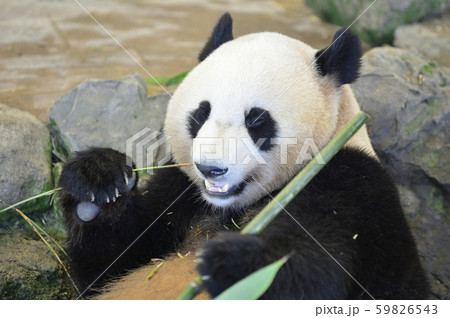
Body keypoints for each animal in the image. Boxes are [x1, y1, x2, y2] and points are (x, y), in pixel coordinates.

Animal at [58, 13, 430, 300]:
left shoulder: (350, 184)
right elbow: (110, 266)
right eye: (200, 114)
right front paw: (98, 181)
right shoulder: (180, 188)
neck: (231, 209)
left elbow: (314, 270)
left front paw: (235, 264)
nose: (211, 169)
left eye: (256, 121)